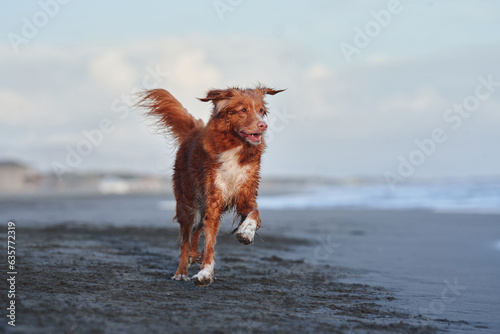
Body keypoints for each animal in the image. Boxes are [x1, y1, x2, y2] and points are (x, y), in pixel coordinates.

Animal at [140, 85, 286, 286]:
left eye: (262, 111)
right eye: (243, 110)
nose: (263, 125)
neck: (235, 147)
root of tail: (193, 131)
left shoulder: (245, 193)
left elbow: (254, 213)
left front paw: (246, 232)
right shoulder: (215, 198)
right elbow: (209, 241)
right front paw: (205, 273)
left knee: (197, 230)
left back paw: (193, 256)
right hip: (187, 203)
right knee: (186, 239)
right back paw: (181, 272)